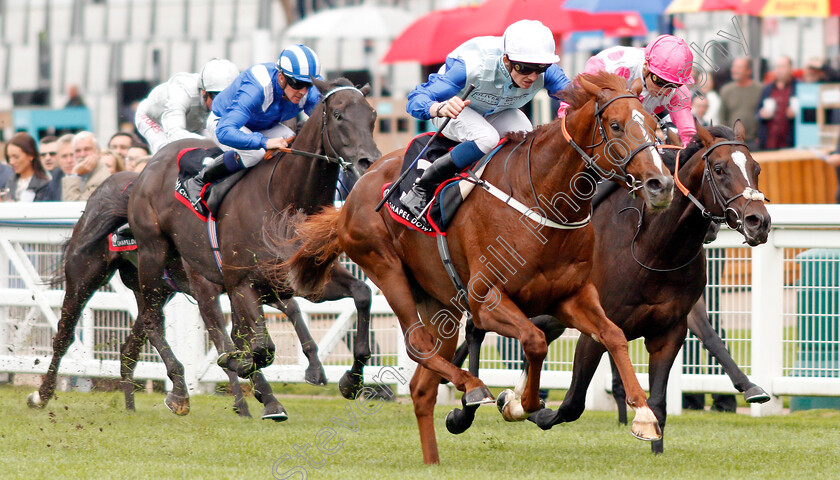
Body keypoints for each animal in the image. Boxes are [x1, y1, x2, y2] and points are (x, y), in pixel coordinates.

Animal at [26, 172, 328, 416]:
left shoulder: (248, 285)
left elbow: (277, 317)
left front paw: (306, 371)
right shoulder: (214, 287)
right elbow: (231, 340)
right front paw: (248, 400)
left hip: (152, 290)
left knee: (131, 345)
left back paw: (130, 407)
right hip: (84, 275)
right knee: (64, 336)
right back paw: (41, 396)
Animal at [288, 72, 676, 464]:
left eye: (654, 123)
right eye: (615, 125)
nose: (661, 185)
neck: (541, 199)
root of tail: (355, 191)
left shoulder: (571, 296)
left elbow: (613, 334)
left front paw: (644, 416)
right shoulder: (485, 301)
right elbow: (535, 341)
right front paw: (517, 403)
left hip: (437, 301)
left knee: (422, 385)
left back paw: (433, 460)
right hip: (385, 266)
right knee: (416, 345)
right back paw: (472, 388)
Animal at [450, 122, 772, 452]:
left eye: (756, 168)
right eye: (719, 169)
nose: (758, 221)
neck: (654, 248)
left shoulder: (669, 330)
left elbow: (661, 400)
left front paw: (655, 445)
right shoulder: (595, 331)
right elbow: (572, 403)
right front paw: (527, 408)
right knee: (476, 330)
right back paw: (469, 404)